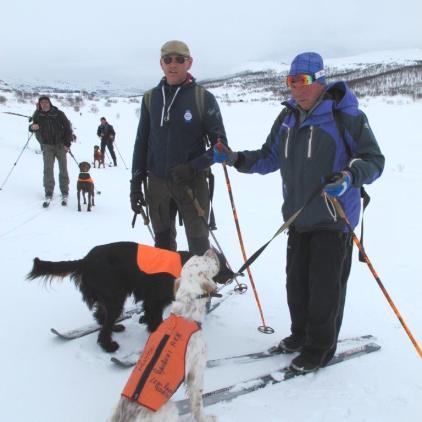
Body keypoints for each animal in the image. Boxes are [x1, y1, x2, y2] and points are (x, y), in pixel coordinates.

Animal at [26, 241, 234, 352]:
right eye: (222, 266)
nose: (233, 274)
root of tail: (85, 261)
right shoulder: (155, 299)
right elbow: (155, 319)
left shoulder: (151, 300)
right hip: (114, 297)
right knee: (105, 324)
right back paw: (109, 345)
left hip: (111, 295)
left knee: (101, 316)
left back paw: (115, 328)